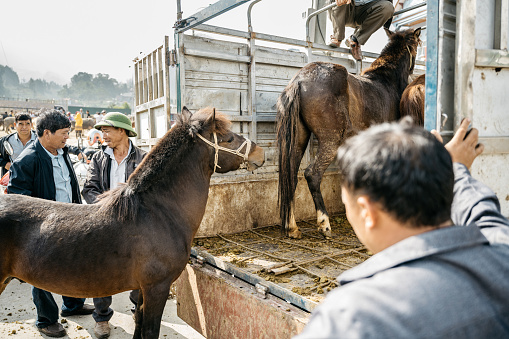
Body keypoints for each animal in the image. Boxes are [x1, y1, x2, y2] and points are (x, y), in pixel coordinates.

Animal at [0, 107, 266, 339]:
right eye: (229, 138)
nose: (260, 154)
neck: (157, 213)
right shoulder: (157, 288)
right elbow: (149, 330)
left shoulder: (142, 290)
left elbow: (138, 323)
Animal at [278, 27, 420, 239]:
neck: (387, 80)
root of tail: (300, 80)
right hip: (330, 140)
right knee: (312, 174)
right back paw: (324, 224)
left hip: (298, 139)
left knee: (291, 175)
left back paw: (292, 227)